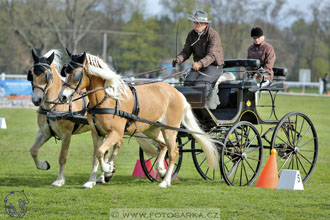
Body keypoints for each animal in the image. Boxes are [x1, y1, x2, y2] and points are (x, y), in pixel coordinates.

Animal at [58, 49, 219, 187]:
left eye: (76, 75)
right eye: (65, 72)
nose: (63, 97)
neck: (107, 98)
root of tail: (177, 93)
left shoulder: (115, 133)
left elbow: (100, 153)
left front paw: (108, 170)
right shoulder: (96, 133)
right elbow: (96, 155)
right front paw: (91, 181)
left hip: (170, 130)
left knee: (173, 152)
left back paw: (165, 181)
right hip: (152, 130)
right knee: (163, 146)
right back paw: (161, 170)